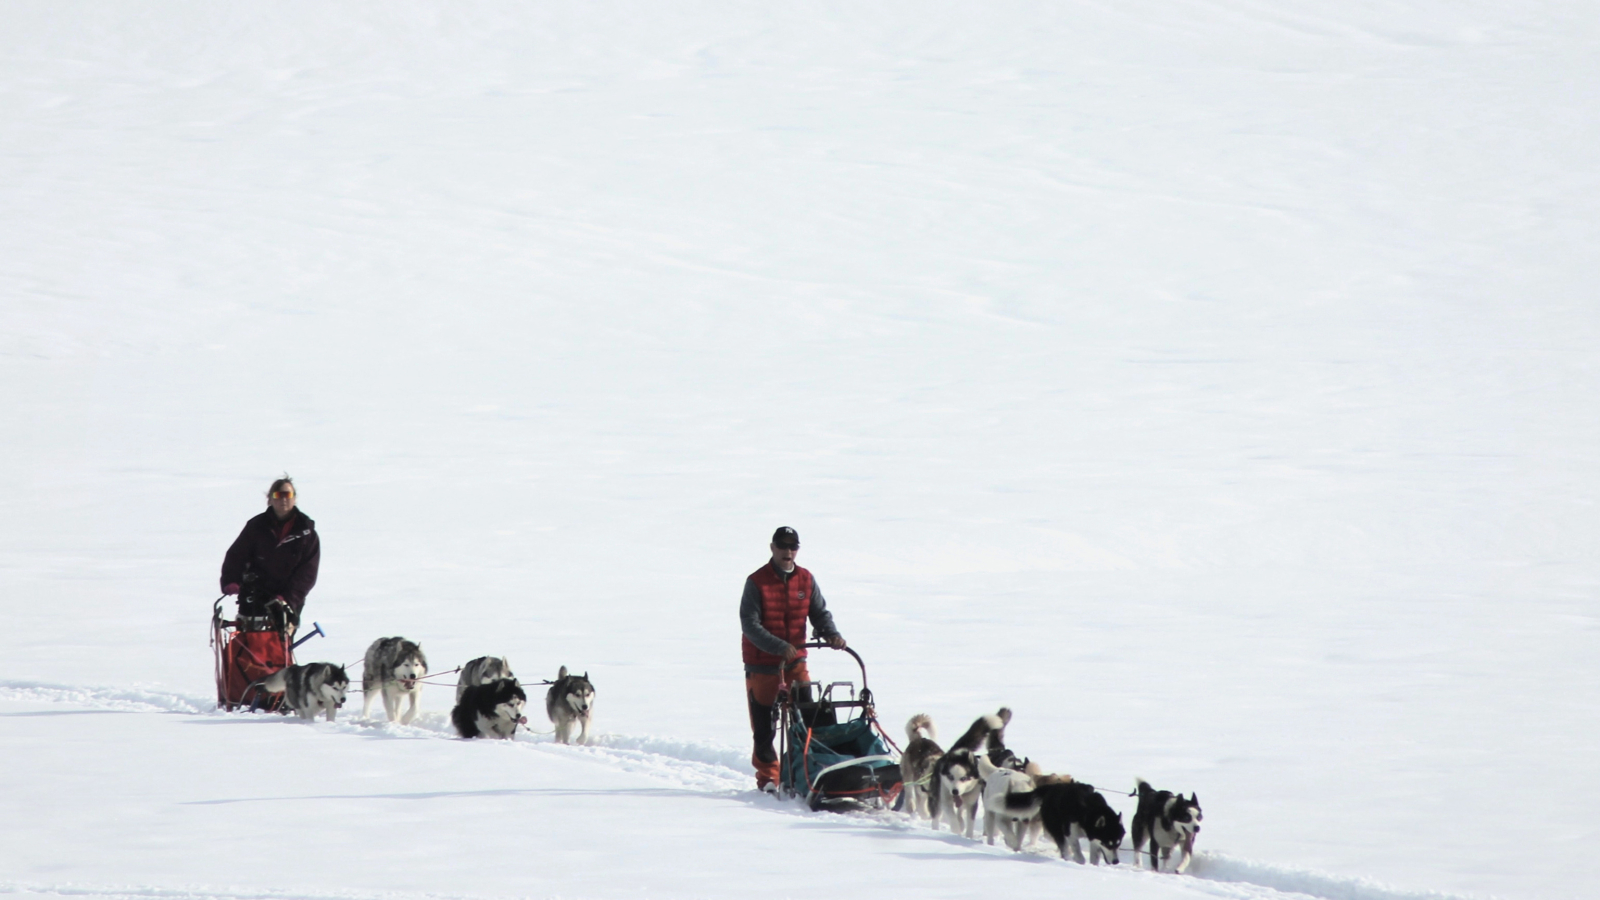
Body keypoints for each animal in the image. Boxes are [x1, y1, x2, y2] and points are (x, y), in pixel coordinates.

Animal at [928, 704, 998, 839]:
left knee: (960, 812)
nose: (955, 791)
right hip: (936, 796)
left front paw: (968, 836)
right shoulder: (946, 800)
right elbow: (952, 818)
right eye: (950, 777)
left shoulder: (972, 803)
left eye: (964, 778)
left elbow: (970, 822)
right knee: (936, 816)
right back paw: (935, 829)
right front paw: (957, 832)